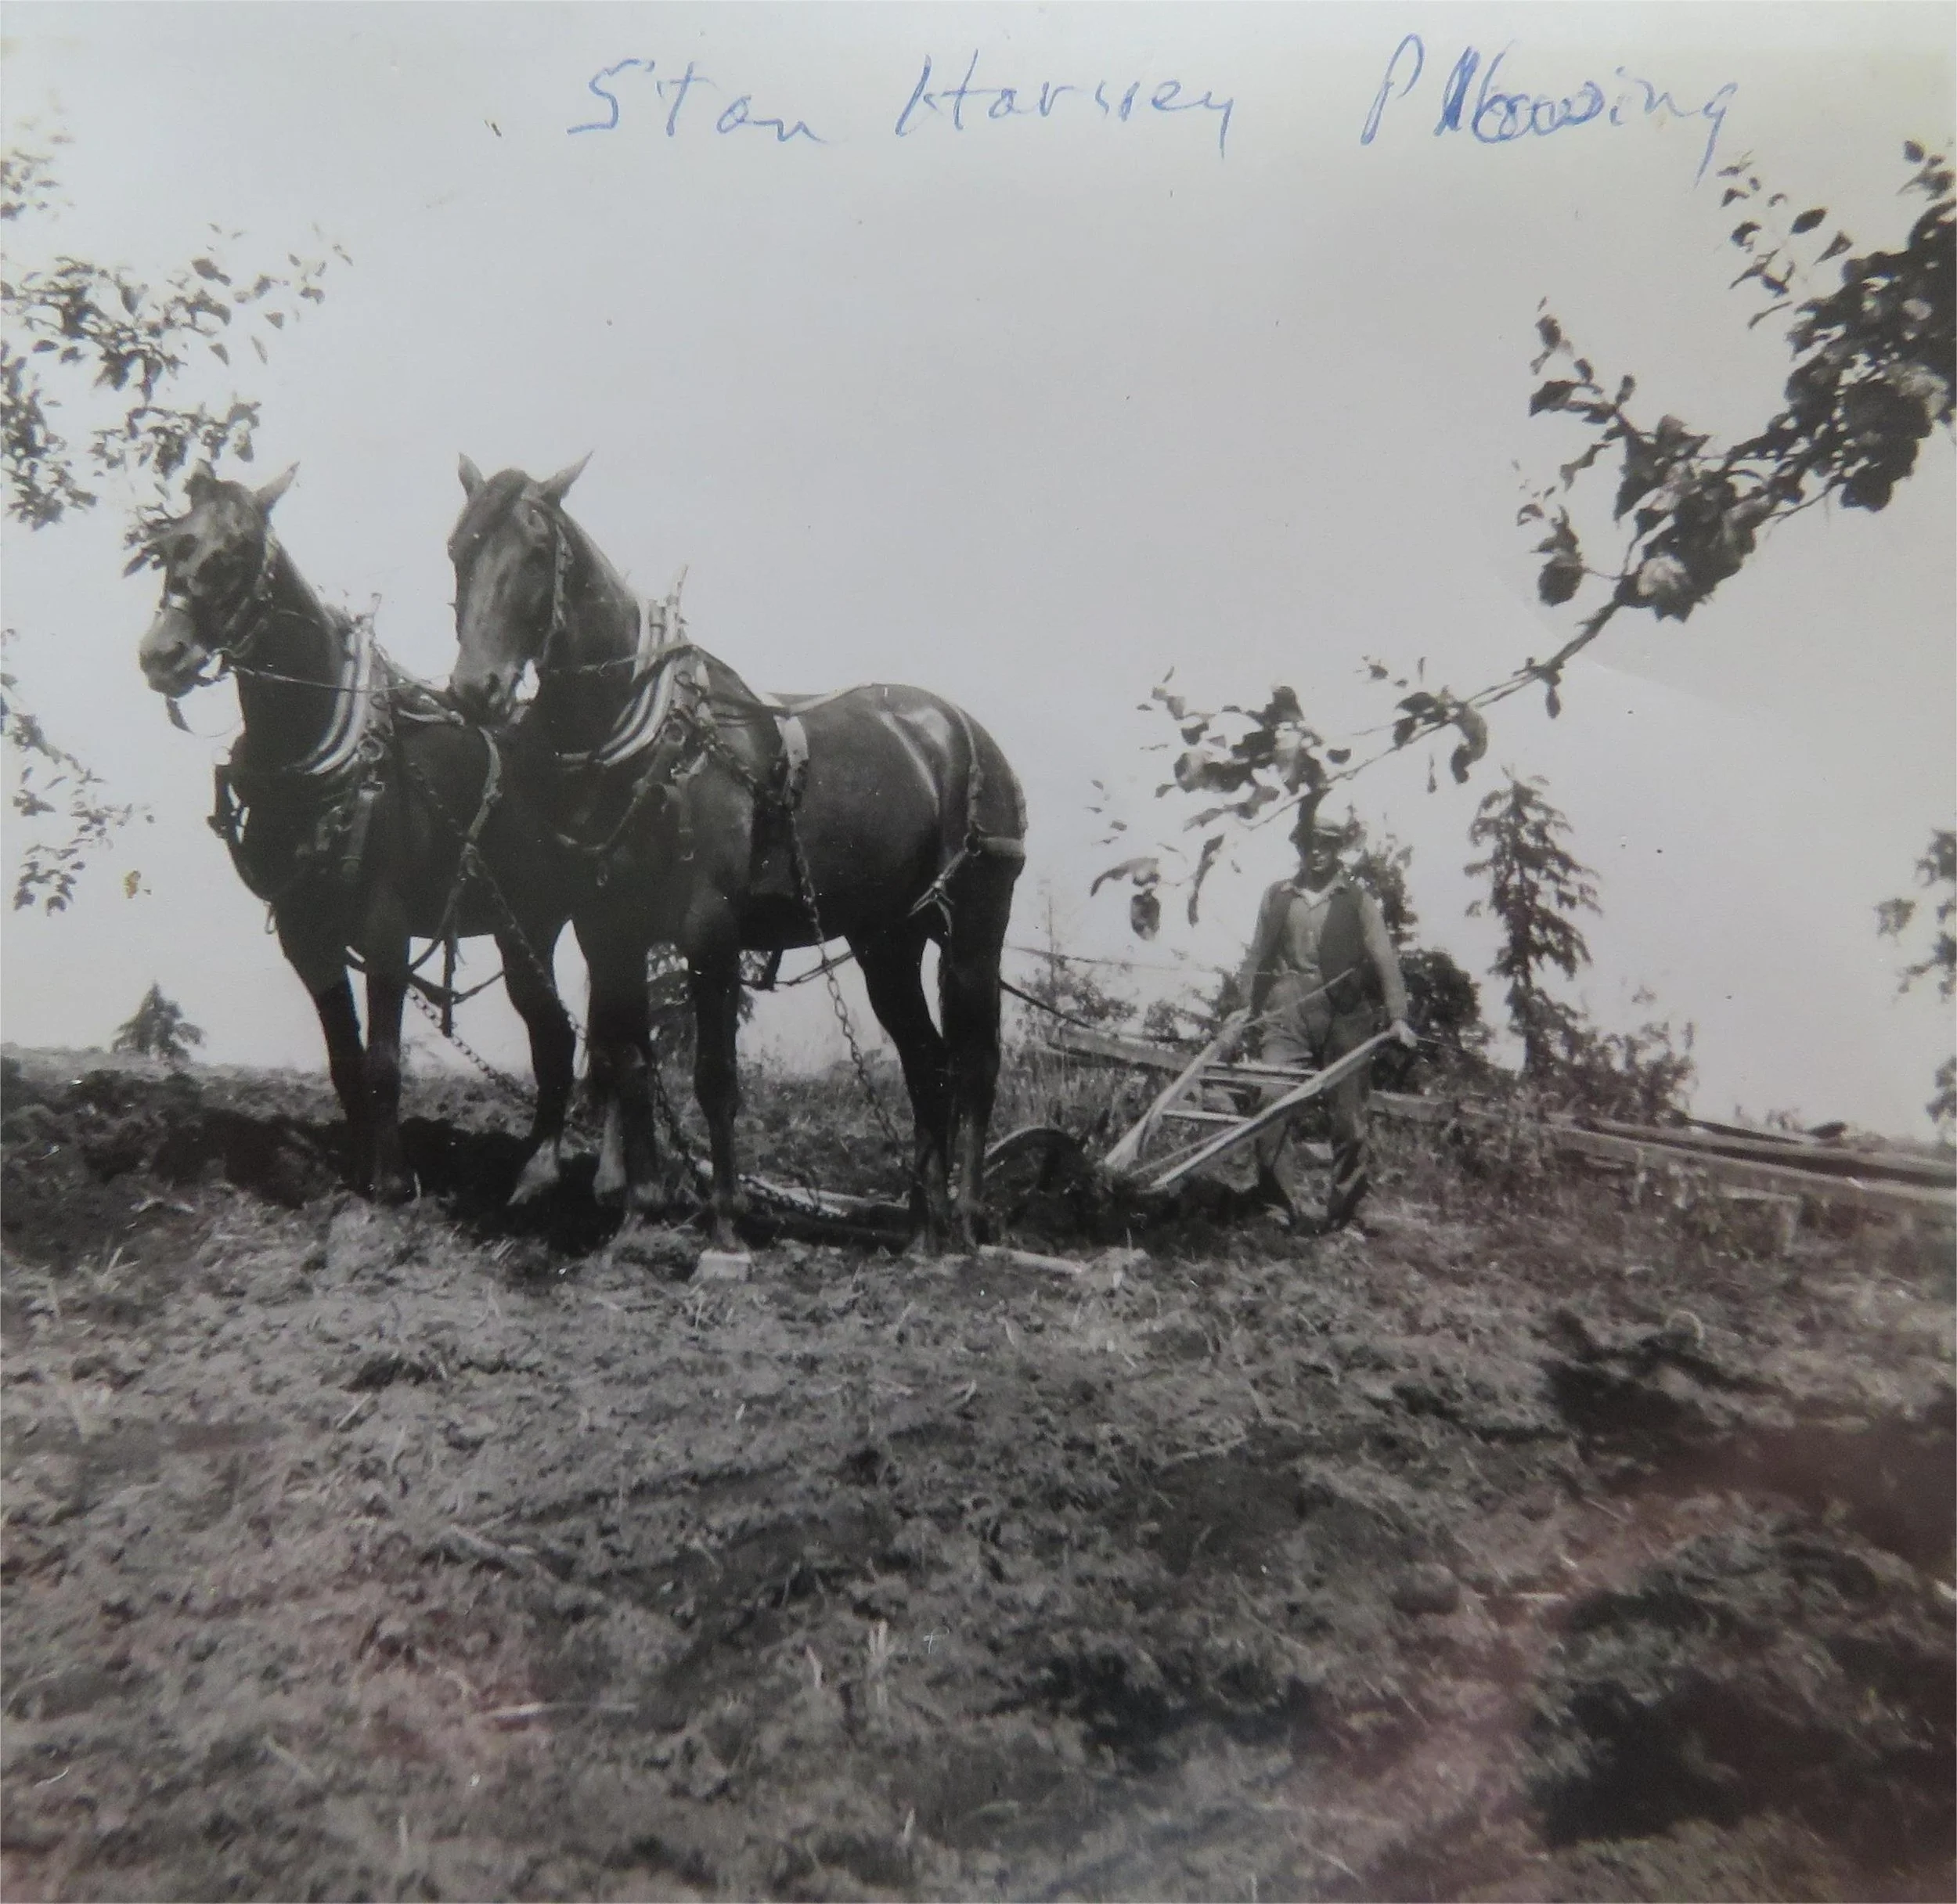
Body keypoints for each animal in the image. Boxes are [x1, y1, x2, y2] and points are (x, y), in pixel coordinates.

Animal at [136, 465, 579, 1203]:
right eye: (171, 547)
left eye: (237, 552)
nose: (161, 655)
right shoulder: (303, 932)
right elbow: (344, 1062)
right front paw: (356, 1174)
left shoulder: (384, 928)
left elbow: (382, 1064)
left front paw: (395, 1183)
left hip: (538, 926)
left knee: (564, 1038)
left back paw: (545, 1166)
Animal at [444, 456, 1027, 1253]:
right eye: (457, 551)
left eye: (536, 552)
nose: (476, 690)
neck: (649, 739)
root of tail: (962, 732)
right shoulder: (608, 932)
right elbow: (629, 1060)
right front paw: (638, 1213)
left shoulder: (709, 928)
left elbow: (714, 1075)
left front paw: (724, 1225)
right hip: (887, 942)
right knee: (925, 1065)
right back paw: (921, 1228)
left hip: (973, 930)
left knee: (974, 1064)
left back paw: (965, 1218)